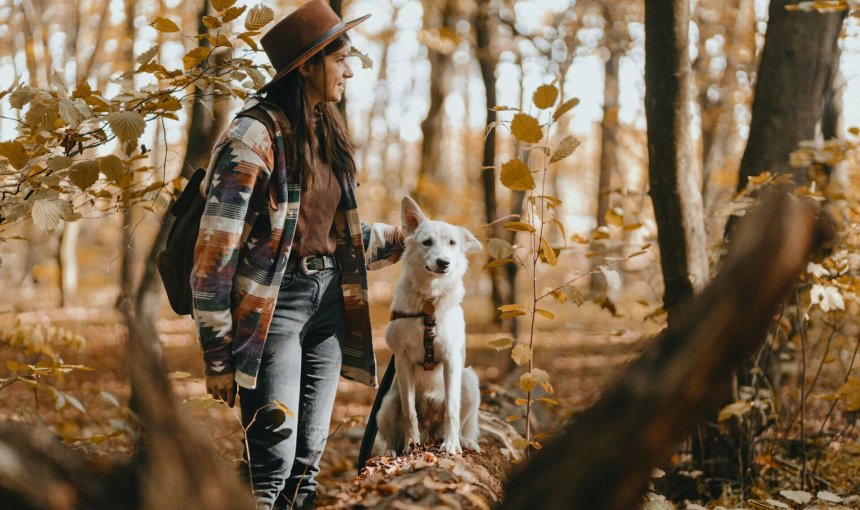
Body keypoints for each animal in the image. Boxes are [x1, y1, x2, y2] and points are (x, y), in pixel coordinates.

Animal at [376, 197, 484, 456]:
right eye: (427, 242)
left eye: (453, 243)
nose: (443, 262)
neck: (428, 303)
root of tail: (431, 432)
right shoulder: (402, 360)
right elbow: (409, 412)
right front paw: (411, 444)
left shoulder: (452, 359)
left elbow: (452, 411)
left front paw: (451, 445)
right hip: (386, 403)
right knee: (390, 436)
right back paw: (392, 450)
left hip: (469, 381)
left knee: (460, 422)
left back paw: (463, 440)